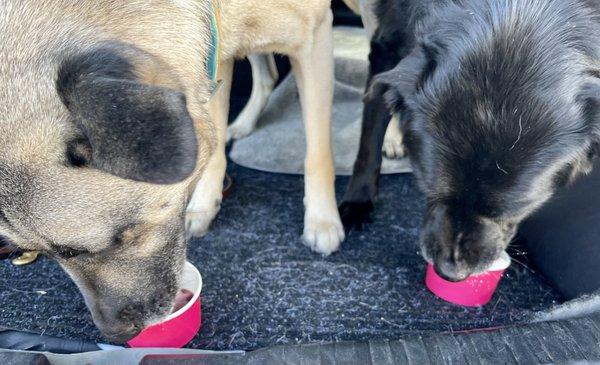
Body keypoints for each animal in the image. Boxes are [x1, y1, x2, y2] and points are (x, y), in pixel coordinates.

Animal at [340, 0, 600, 280]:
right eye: (428, 189)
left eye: (512, 211)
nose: (450, 273)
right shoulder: (386, 44)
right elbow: (370, 134)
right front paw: (358, 200)